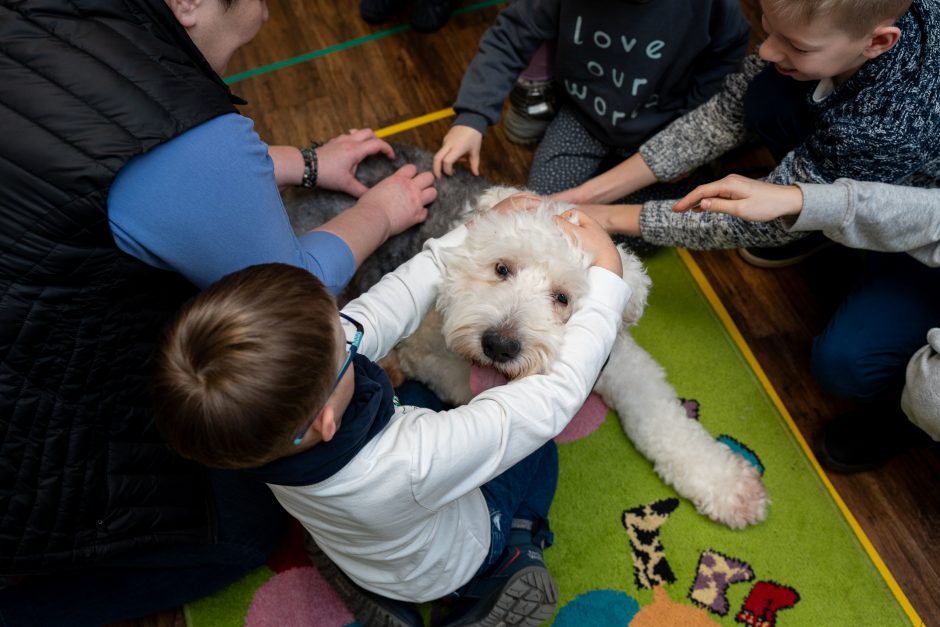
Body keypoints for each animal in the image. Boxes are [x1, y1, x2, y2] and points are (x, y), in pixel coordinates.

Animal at [390, 186, 772, 528]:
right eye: (502, 269)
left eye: (562, 298)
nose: (499, 345)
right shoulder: (424, 351)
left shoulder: (625, 366)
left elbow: (666, 423)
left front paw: (729, 487)